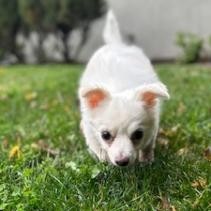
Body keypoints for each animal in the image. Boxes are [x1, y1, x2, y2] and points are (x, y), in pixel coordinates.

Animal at [78, 11, 169, 166]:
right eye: (105, 135)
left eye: (138, 134)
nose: (122, 161)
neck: (119, 89)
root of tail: (116, 43)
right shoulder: (90, 129)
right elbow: (97, 146)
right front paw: (104, 159)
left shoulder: (153, 126)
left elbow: (148, 145)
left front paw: (146, 160)